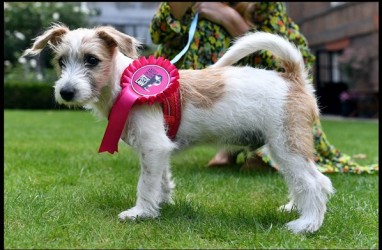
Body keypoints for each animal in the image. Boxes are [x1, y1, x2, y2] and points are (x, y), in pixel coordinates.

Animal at [23, 24, 334, 233]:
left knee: (316, 182)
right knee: (300, 182)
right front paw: (161, 204)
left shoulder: (153, 147)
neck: (123, 82)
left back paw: (307, 224)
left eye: (92, 60)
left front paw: (141, 212)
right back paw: (295, 209)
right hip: (281, 148)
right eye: (61, 61)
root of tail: (293, 77)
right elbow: (160, 179)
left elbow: (145, 183)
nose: (66, 92)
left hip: (287, 145)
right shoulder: (158, 150)